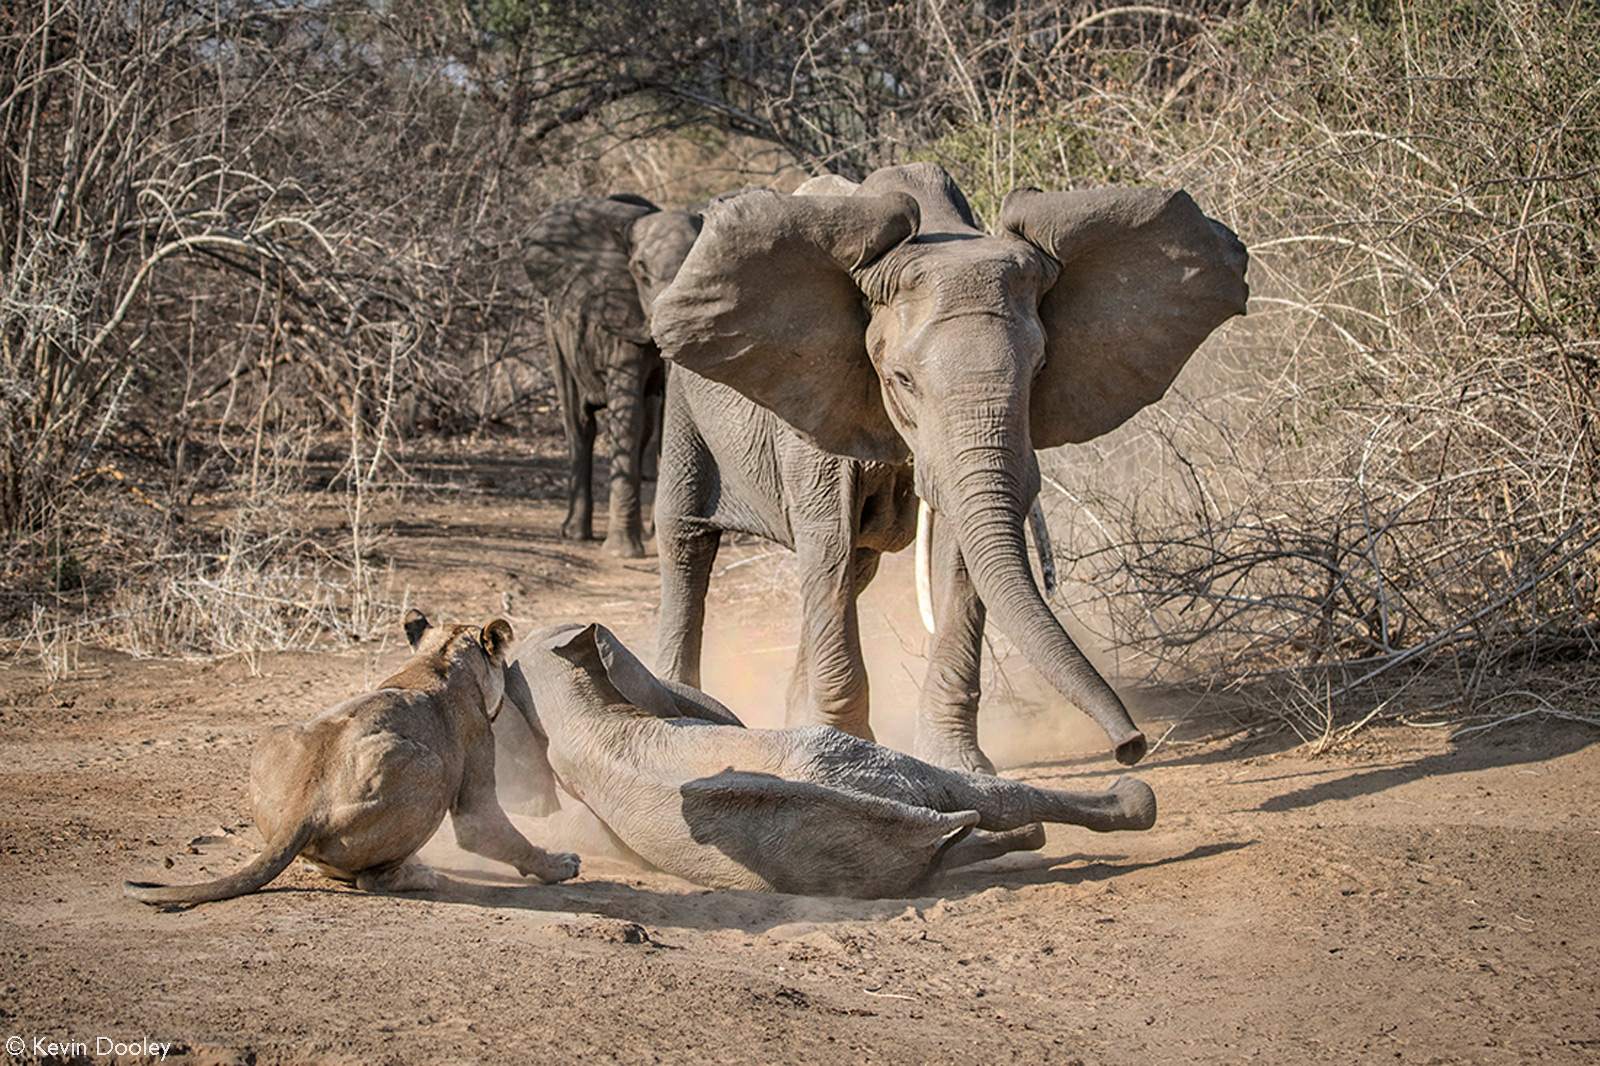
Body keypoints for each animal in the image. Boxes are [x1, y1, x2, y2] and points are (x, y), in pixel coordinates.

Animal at [524, 194, 700, 557]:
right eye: (641, 270)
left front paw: (659, 540)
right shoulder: (620, 321)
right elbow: (627, 418)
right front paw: (623, 552)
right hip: (555, 335)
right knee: (579, 424)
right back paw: (575, 534)